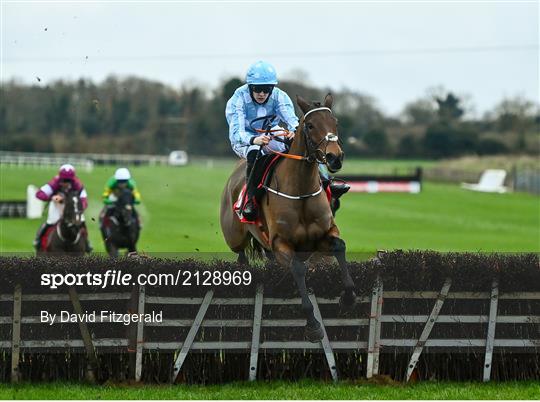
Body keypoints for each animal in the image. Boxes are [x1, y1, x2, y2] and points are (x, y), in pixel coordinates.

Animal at [221, 94, 356, 342]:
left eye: (335, 122)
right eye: (310, 125)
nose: (335, 157)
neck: (300, 191)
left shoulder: (322, 236)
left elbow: (339, 246)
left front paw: (348, 298)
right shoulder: (280, 243)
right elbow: (298, 269)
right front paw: (313, 325)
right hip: (235, 237)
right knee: (241, 255)